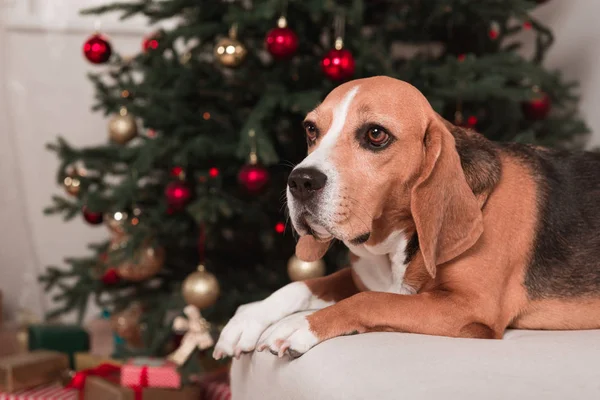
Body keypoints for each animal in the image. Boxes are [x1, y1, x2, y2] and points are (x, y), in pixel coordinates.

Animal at [213, 76, 600, 360]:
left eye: (375, 134)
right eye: (310, 129)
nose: (300, 181)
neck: (393, 246)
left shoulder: (469, 307)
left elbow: (370, 300)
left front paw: (299, 325)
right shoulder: (362, 277)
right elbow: (304, 285)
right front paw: (250, 317)